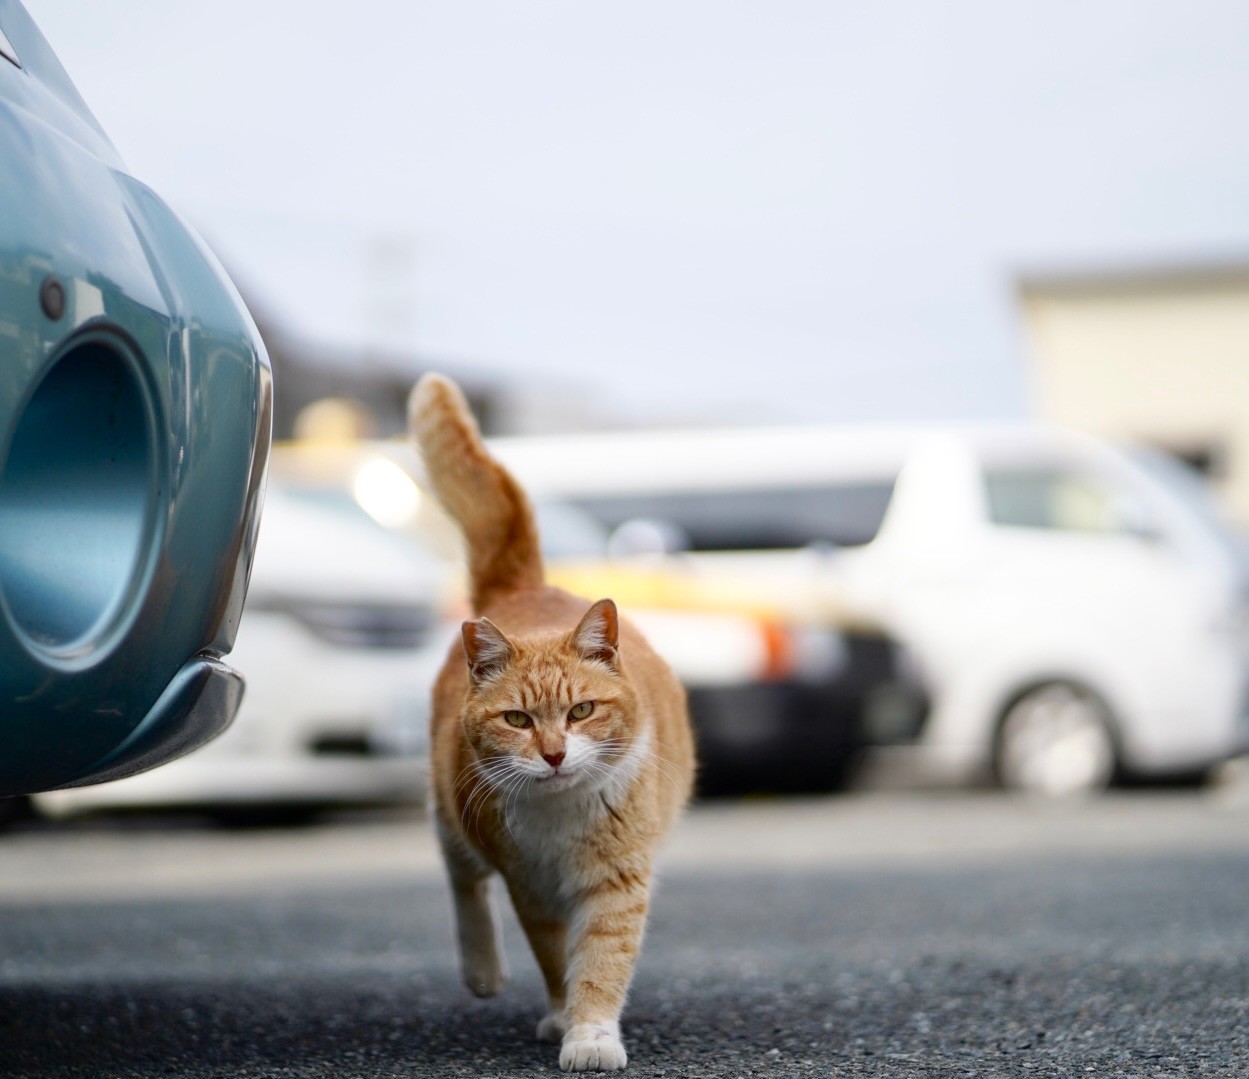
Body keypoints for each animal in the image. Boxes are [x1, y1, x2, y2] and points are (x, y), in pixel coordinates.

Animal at [414, 369, 699, 1069]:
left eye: (581, 711)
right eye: (518, 719)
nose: (552, 754)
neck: (562, 814)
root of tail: (526, 588)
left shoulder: (616, 883)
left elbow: (600, 959)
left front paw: (590, 1034)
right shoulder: (532, 889)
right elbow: (553, 958)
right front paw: (563, 1015)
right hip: (453, 809)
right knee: (462, 877)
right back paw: (482, 973)